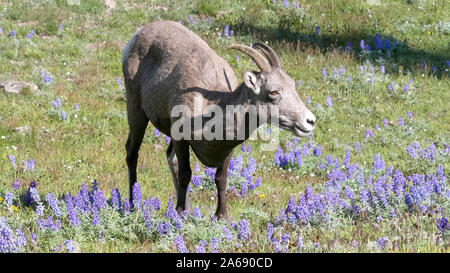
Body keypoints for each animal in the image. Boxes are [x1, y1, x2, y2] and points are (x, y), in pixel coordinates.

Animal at [121, 20, 314, 217]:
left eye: (292, 85)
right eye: (273, 92)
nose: (310, 121)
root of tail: (139, 33)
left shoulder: (227, 151)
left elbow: (221, 179)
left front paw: (221, 216)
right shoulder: (181, 139)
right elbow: (185, 174)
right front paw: (180, 213)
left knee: (169, 157)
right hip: (136, 111)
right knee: (132, 153)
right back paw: (133, 204)